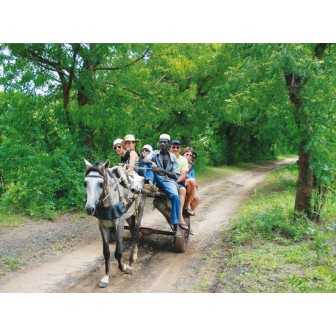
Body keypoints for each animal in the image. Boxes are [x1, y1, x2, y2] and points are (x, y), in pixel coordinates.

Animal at [83, 159, 145, 288]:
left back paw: (132, 258)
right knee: (133, 230)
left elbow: (118, 253)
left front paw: (124, 267)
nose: (89, 208)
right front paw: (106, 277)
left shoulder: (119, 225)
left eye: (101, 184)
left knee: (136, 231)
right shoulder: (102, 226)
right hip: (129, 216)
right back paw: (135, 253)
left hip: (140, 209)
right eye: (85, 183)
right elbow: (106, 253)